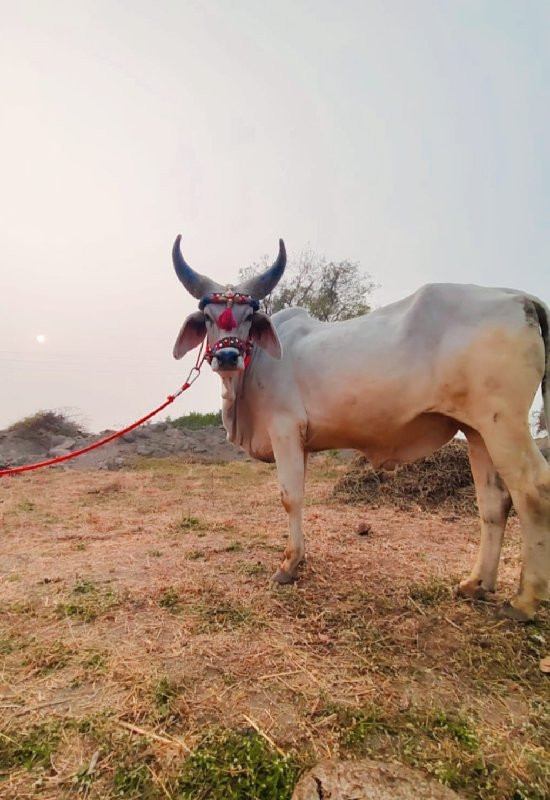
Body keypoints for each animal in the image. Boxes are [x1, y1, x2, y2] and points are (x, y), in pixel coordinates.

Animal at [172, 234, 550, 620]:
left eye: (249, 316)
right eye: (208, 317)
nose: (227, 357)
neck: (256, 367)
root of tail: (520, 297)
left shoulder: (284, 430)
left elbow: (290, 498)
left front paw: (288, 565)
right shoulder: (301, 442)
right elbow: (299, 496)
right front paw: (300, 557)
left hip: (505, 424)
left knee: (533, 491)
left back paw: (524, 600)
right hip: (478, 430)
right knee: (494, 501)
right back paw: (476, 584)